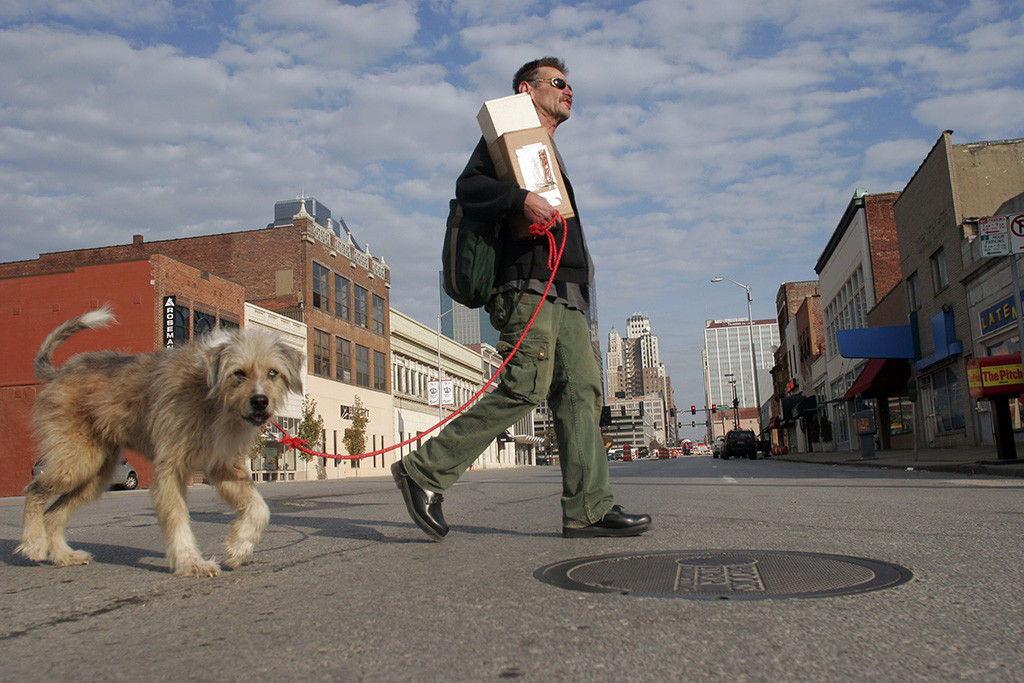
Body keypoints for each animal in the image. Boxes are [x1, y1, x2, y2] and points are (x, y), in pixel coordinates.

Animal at [17, 309, 303, 577]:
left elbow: (260, 509)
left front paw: (238, 548)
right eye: (238, 373)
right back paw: (34, 543)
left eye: (273, 372)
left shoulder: (224, 467)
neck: (212, 396)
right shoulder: (171, 467)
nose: (260, 401)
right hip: (77, 461)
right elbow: (177, 517)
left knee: (53, 514)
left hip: (96, 473)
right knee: (34, 490)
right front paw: (191, 562)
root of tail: (60, 372)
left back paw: (64, 556)